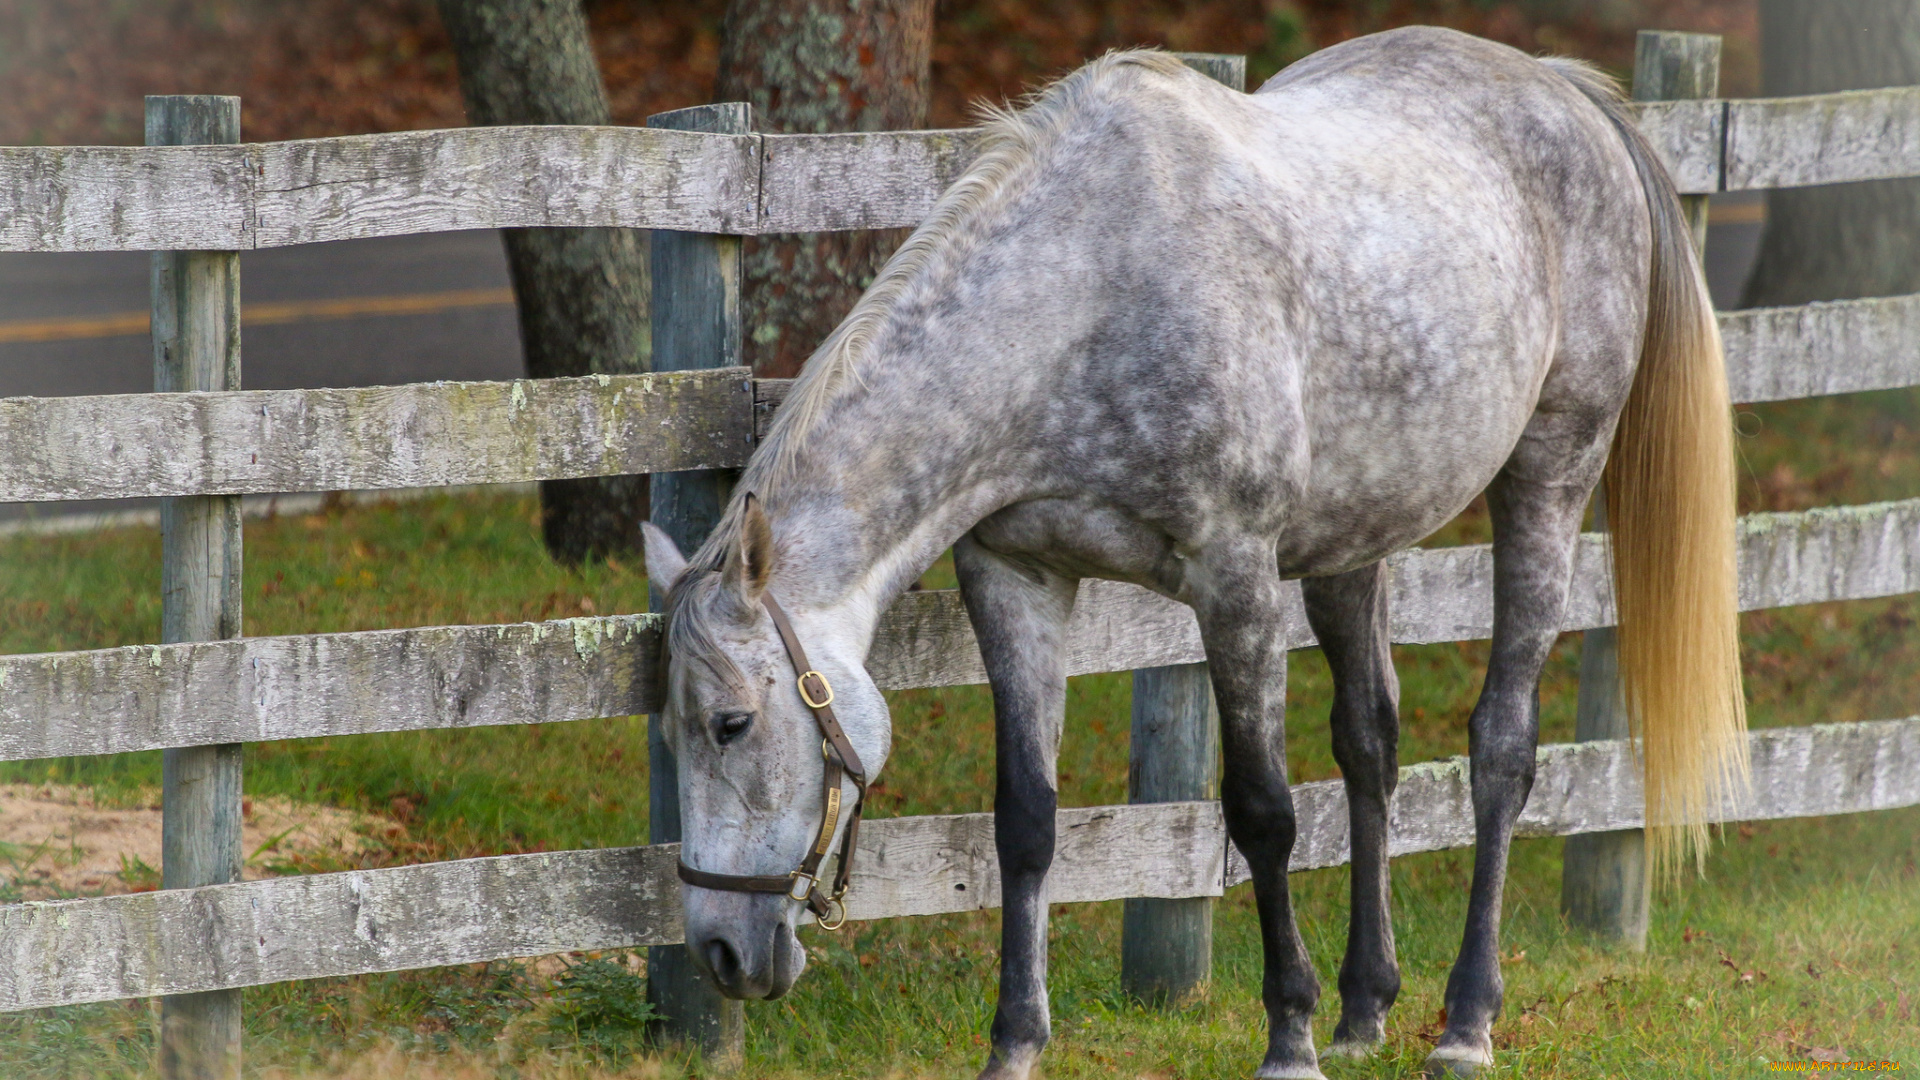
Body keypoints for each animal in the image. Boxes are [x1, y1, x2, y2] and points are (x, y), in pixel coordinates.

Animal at [637, 25, 1751, 1076]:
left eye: (732, 723)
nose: (721, 952)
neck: (1087, 294)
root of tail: (1562, 86)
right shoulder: (1016, 578)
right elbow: (1025, 821)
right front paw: (1015, 1044)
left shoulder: (1235, 578)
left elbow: (1261, 812)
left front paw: (1288, 1038)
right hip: (1356, 539)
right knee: (1371, 746)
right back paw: (1365, 1010)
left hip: (1550, 478)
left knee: (1502, 749)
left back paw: (1464, 1024)